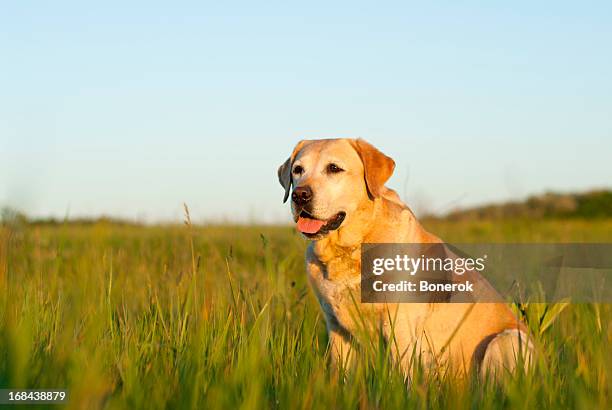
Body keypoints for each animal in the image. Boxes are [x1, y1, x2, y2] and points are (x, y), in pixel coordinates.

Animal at [278, 138, 532, 378]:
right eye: (298, 170)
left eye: (334, 168)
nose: (299, 195)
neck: (351, 248)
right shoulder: (336, 327)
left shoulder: (400, 326)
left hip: (506, 340)